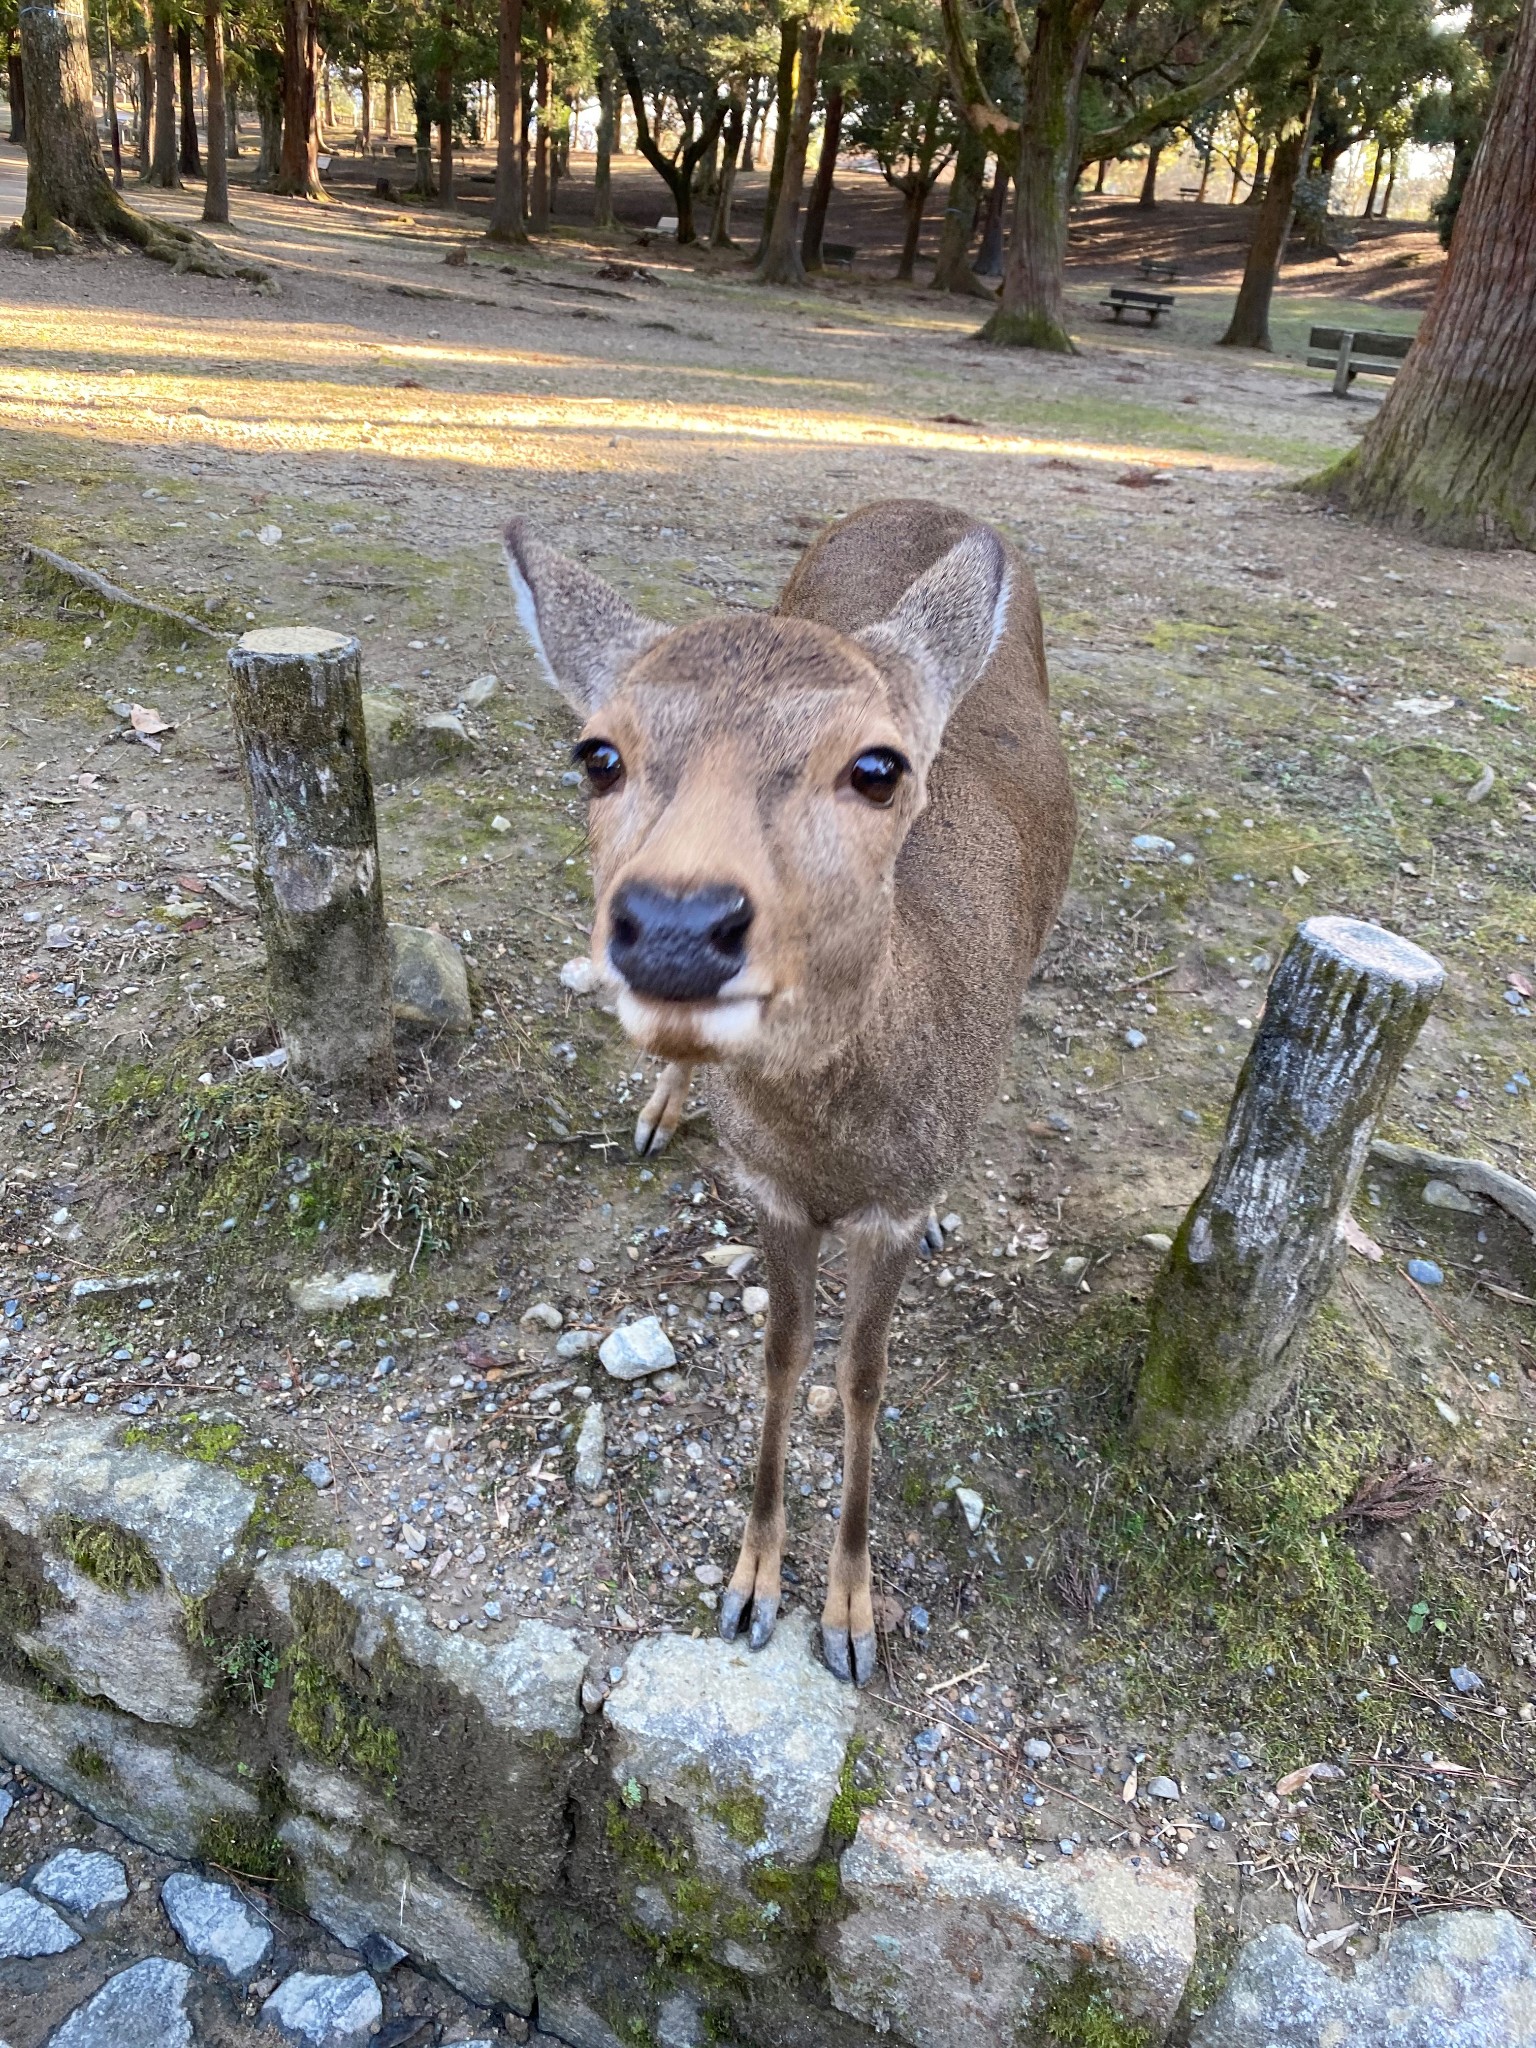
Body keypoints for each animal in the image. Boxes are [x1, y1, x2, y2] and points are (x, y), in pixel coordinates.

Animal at [505, 495, 1073, 1679]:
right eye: (597, 753)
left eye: (878, 766)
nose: (676, 923)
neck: (834, 1153)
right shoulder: (766, 1189)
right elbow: (778, 1356)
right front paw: (752, 1587)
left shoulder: (888, 1206)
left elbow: (861, 1377)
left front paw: (851, 1618)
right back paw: (660, 1108)